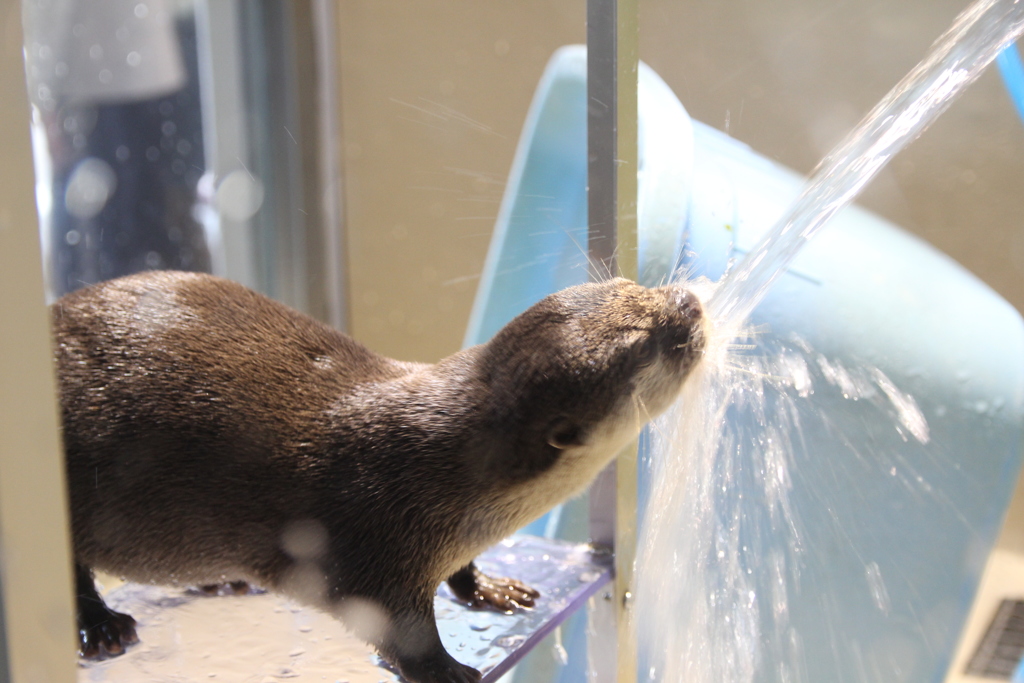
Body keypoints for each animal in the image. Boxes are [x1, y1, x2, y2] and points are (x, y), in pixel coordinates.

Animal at [49, 270, 704, 679]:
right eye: (642, 345)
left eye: (629, 284)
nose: (692, 304)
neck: (441, 477)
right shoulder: (375, 540)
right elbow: (398, 630)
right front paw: (447, 671)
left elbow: (462, 571)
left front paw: (491, 588)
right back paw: (102, 626)